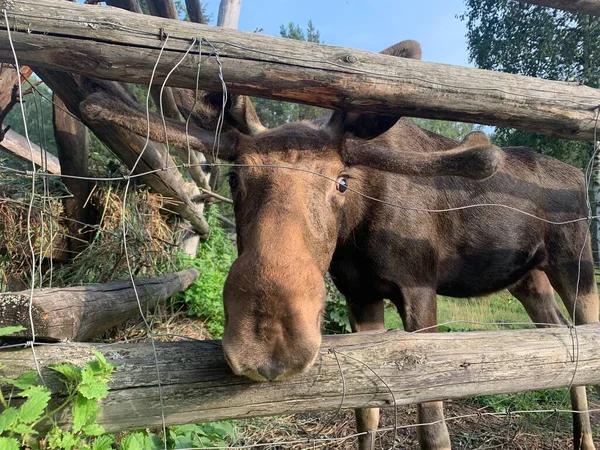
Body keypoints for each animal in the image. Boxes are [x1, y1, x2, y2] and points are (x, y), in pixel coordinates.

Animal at [81, 40, 600, 448]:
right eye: (234, 177)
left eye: (341, 182)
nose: (269, 341)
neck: (358, 233)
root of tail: (578, 178)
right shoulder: (360, 297)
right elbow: (365, 415)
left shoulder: (419, 288)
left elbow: (432, 426)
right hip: (527, 277)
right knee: (561, 342)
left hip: (576, 265)